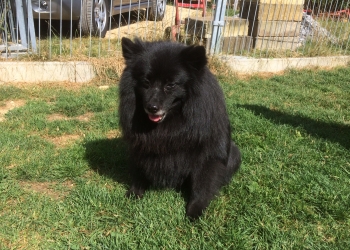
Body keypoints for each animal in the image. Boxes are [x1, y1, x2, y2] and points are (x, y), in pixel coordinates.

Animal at [117, 37, 241, 219]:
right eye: (146, 82)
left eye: (171, 85)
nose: (152, 108)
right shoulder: (141, 149)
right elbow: (139, 172)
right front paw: (134, 193)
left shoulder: (207, 155)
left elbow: (202, 184)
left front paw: (194, 211)